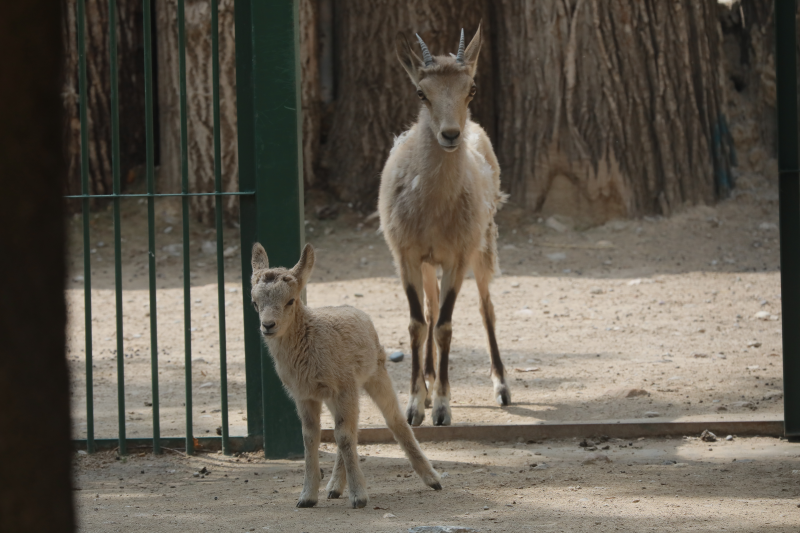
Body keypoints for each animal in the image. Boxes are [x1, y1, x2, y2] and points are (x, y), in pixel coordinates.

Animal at [250, 242, 440, 508]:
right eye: (254, 302)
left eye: (290, 300)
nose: (268, 325)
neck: (310, 340)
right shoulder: (304, 395)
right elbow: (311, 436)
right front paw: (306, 497)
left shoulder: (343, 386)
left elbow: (343, 435)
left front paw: (359, 496)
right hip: (339, 395)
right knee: (351, 427)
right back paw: (334, 488)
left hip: (374, 373)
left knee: (392, 420)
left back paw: (433, 480)